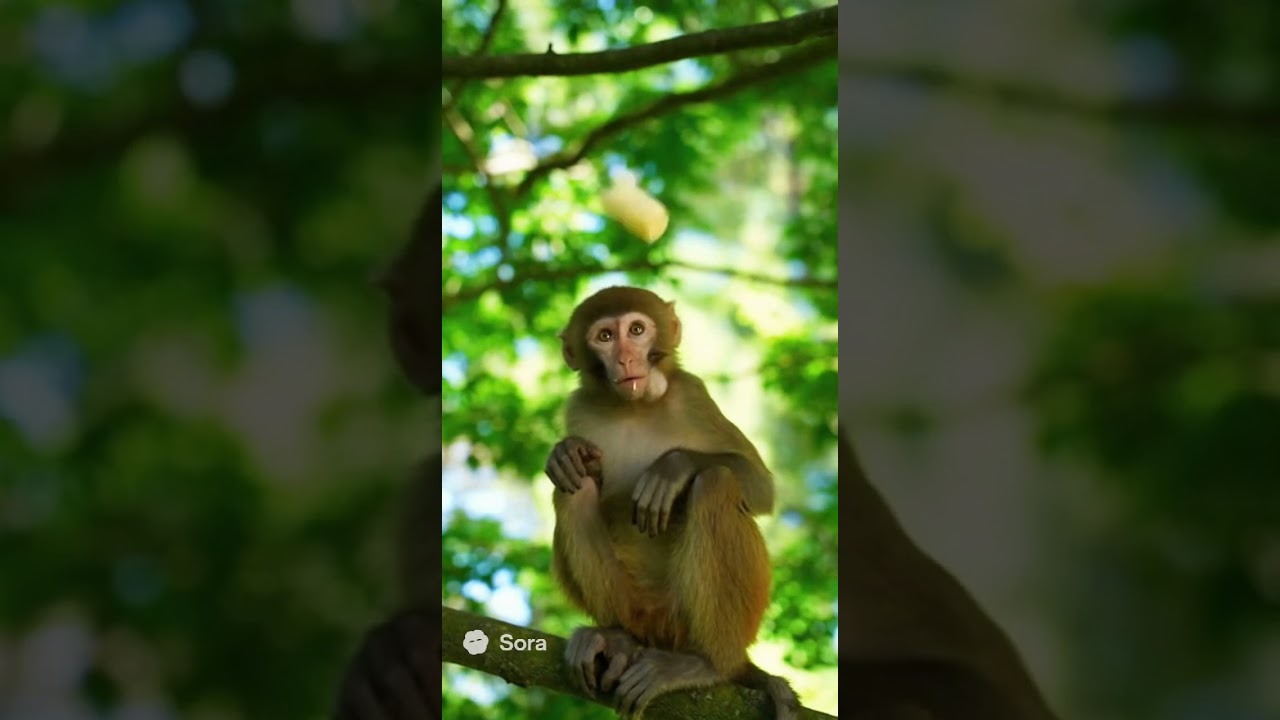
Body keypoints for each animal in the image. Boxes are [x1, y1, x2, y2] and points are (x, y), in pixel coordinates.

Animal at [544, 285, 801, 719]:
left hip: (694, 616)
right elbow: (578, 473)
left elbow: (761, 488)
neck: (634, 407)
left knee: (715, 483)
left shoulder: (693, 395)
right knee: (572, 490)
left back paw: (708, 664)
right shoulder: (578, 406)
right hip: (635, 604)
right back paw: (616, 638)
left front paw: (672, 468)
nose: (626, 359)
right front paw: (564, 453)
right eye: (605, 337)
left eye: (636, 330)